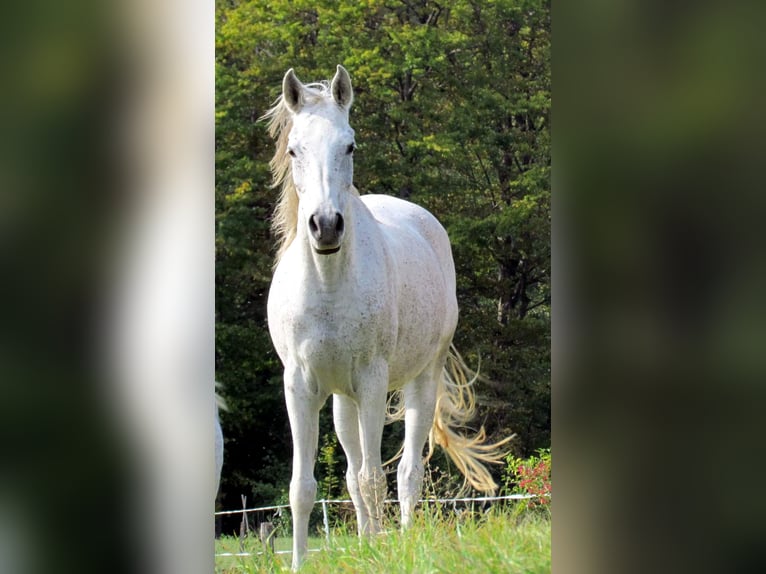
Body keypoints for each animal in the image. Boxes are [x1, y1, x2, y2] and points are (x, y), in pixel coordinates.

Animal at [264, 65, 510, 568]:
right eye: (294, 149)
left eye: (350, 145)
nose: (326, 226)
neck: (328, 284)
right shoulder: (299, 386)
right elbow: (305, 487)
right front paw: (302, 563)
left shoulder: (372, 383)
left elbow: (377, 478)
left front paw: (383, 553)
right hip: (343, 401)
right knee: (356, 476)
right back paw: (366, 542)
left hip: (421, 380)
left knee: (406, 473)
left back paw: (403, 540)